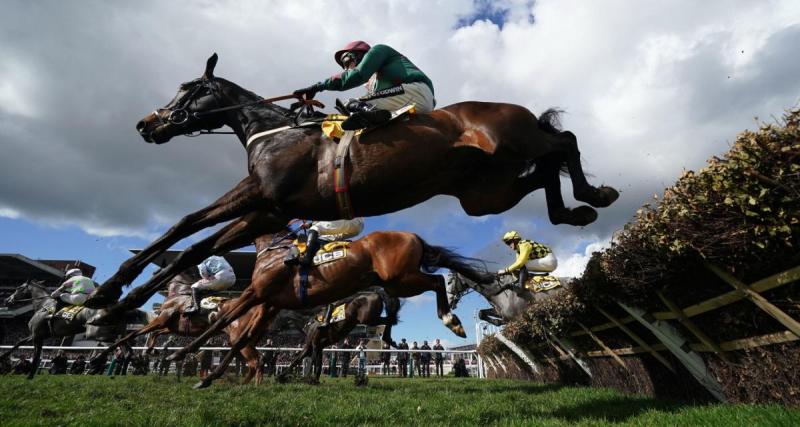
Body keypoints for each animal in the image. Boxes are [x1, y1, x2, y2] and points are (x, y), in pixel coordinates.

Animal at [0, 280, 151, 382]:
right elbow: (19, 342)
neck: (43, 305)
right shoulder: (38, 335)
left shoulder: (37, 335)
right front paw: (4, 356)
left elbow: (36, 355)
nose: (7, 300)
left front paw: (29, 375)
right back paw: (122, 373)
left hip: (96, 333)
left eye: (18, 288)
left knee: (117, 345)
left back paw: (98, 362)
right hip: (116, 332)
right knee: (127, 350)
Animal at [87, 53, 620, 314]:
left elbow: (190, 230)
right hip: (487, 192)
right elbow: (189, 237)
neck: (273, 131)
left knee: (563, 141)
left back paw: (593, 193)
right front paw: (112, 295)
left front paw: (115, 294)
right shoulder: (268, 208)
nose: (147, 124)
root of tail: (506, 107)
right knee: (545, 171)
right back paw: (572, 210)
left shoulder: (262, 197)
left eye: (188, 88)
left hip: (514, 139)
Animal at [87, 270, 264, 388]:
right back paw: (247, 385)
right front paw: (151, 350)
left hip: (238, 339)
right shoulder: (170, 326)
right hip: (246, 340)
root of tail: (256, 309)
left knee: (255, 362)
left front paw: (99, 357)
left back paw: (252, 387)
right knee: (255, 362)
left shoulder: (160, 320)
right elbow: (155, 334)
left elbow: (134, 334)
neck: (178, 294)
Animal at [169, 231, 490, 392]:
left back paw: (451, 320)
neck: (276, 253)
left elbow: (225, 321)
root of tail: (411, 235)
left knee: (435, 282)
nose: (214, 245)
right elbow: (241, 339)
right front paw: (208, 375)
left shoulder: (256, 294)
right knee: (397, 304)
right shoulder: (269, 302)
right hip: (395, 281)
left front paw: (180, 355)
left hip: (402, 278)